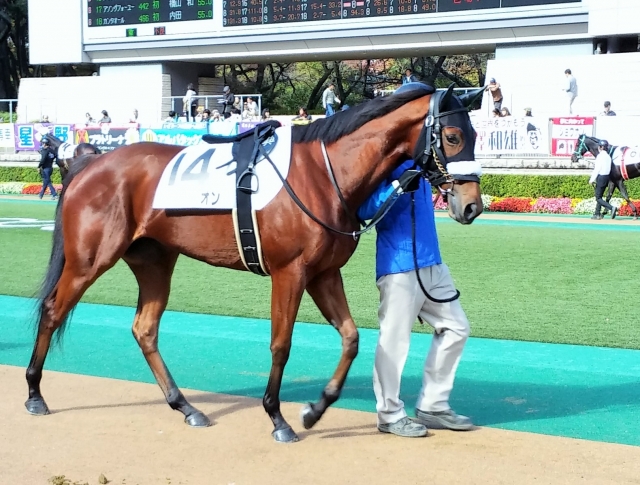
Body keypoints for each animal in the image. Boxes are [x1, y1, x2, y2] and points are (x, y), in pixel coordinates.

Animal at [25, 83, 485, 443]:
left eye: (476, 134)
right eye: (452, 136)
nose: (472, 206)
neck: (323, 173)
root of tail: (89, 162)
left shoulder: (323, 273)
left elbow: (352, 338)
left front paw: (316, 409)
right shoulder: (290, 272)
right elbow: (281, 344)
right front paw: (277, 417)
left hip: (155, 261)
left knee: (145, 329)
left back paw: (185, 406)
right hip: (88, 261)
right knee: (52, 310)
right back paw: (34, 394)